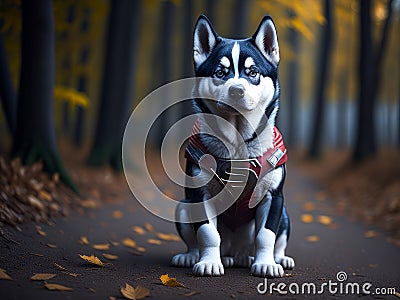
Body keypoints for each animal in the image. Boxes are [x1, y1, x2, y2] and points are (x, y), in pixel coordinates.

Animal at [170, 15, 296, 278]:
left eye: (252, 72)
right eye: (220, 72)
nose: (237, 90)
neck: (238, 142)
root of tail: (237, 252)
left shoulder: (273, 196)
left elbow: (266, 235)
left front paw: (267, 263)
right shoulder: (200, 194)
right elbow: (207, 233)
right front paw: (208, 262)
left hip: (285, 214)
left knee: (277, 238)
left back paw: (277, 258)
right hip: (183, 207)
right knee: (195, 238)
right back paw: (194, 255)